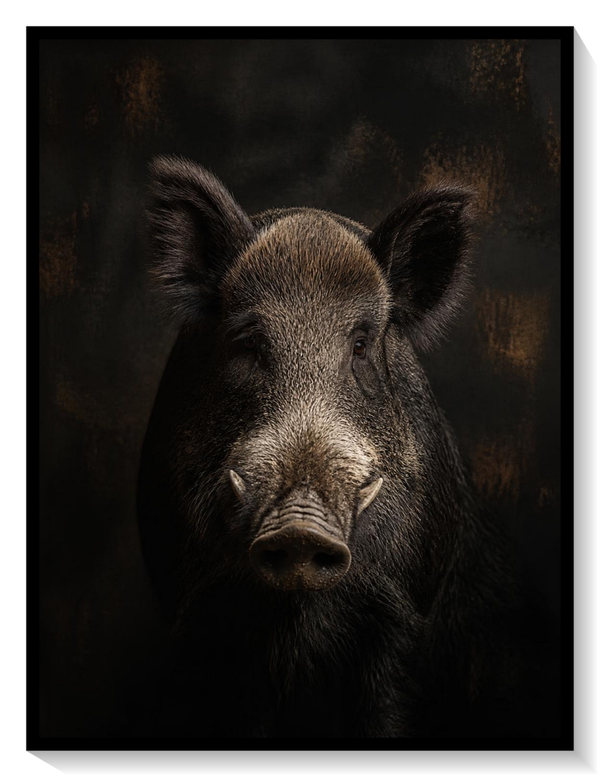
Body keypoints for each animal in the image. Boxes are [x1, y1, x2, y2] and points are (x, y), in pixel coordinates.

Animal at [136, 155, 534, 737]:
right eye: (249, 343)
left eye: (362, 344)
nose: (300, 527)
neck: (295, 621)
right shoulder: (196, 616)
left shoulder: (402, 619)